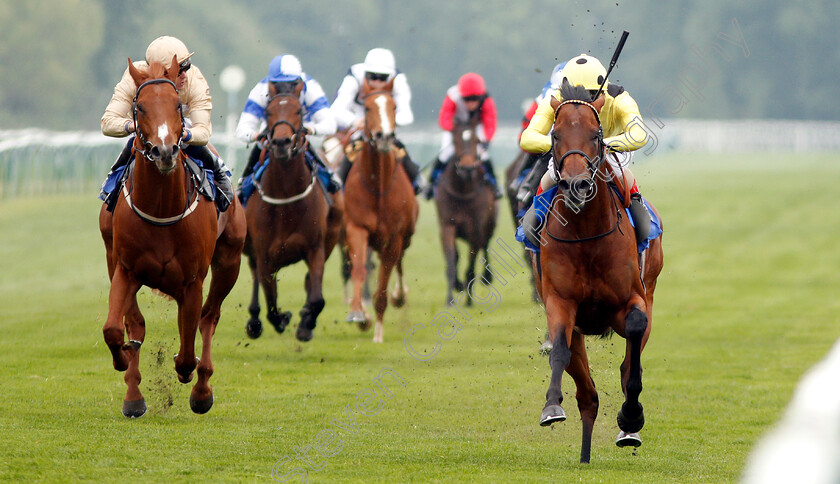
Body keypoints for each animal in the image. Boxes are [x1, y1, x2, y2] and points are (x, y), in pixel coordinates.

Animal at [98, 56, 244, 418]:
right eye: (139, 107)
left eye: (178, 105)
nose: (164, 152)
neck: (163, 209)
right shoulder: (125, 269)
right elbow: (114, 328)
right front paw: (124, 360)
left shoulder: (192, 281)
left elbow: (188, 349)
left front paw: (188, 372)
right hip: (113, 259)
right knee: (137, 324)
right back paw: (134, 395)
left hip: (229, 263)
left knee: (208, 319)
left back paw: (202, 391)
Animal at [241, 81, 342, 342]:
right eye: (268, 112)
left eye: (298, 111)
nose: (281, 143)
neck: (286, 199)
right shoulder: (265, 255)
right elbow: (272, 303)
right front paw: (282, 318)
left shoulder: (315, 248)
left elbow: (317, 299)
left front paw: (306, 323)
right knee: (255, 279)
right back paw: (254, 321)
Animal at [342, 80, 418, 344]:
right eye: (366, 108)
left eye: (394, 106)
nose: (383, 137)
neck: (378, 187)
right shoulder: (356, 228)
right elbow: (359, 268)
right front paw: (358, 313)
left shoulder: (394, 237)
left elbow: (384, 283)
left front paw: (378, 332)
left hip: (406, 236)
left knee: (400, 264)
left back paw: (400, 295)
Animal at [434, 118, 498, 304]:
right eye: (456, 141)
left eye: (477, 141)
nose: (467, 169)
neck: (462, 191)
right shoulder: (447, 225)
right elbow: (451, 260)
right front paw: (450, 297)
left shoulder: (475, 229)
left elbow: (471, 264)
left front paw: (468, 300)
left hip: (489, 226)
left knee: (485, 246)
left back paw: (485, 278)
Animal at [536, 83, 668, 462]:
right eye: (555, 133)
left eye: (596, 135)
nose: (576, 185)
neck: (585, 235)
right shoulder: (560, 301)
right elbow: (560, 349)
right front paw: (552, 407)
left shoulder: (631, 301)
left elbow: (633, 352)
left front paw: (632, 417)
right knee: (587, 395)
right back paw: (584, 453)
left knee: (629, 363)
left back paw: (628, 429)